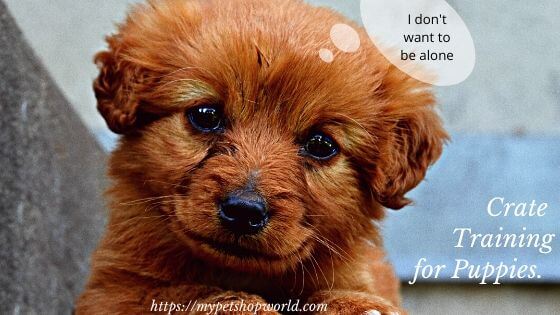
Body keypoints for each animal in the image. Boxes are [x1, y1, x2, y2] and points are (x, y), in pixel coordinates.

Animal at [76, 1, 448, 314]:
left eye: (321, 144)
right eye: (206, 115)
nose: (243, 211)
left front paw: (359, 306)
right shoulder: (111, 291)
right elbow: (182, 292)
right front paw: (242, 306)